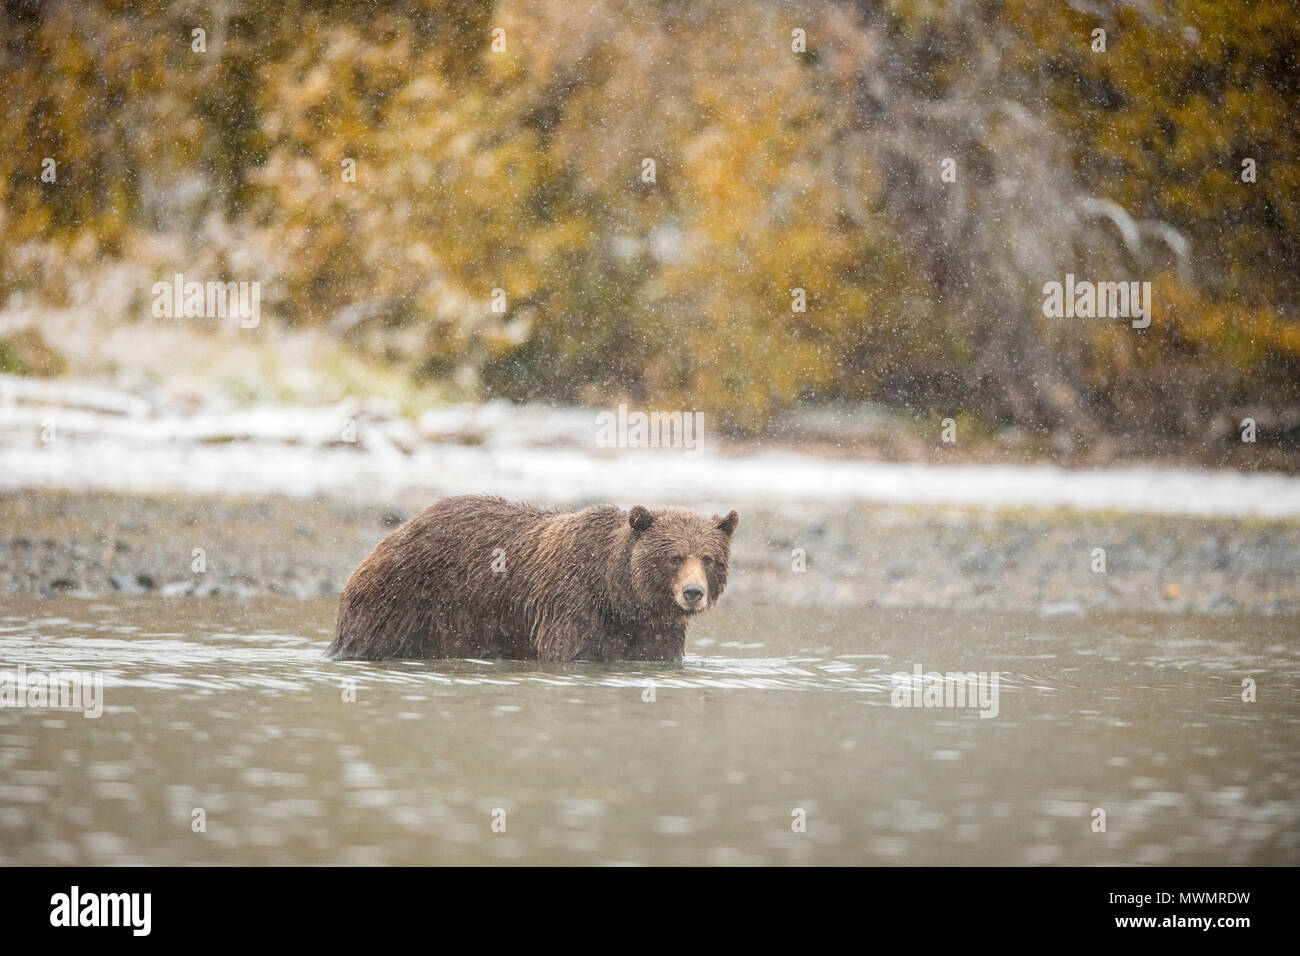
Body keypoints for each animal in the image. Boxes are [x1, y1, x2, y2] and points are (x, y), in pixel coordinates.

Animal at [327, 496, 743, 660]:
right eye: (674, 557)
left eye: (708, 558)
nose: (693, 592)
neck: (618, 595)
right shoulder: (569, 605)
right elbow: (569, 651)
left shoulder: (654, 630)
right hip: (405, 598)